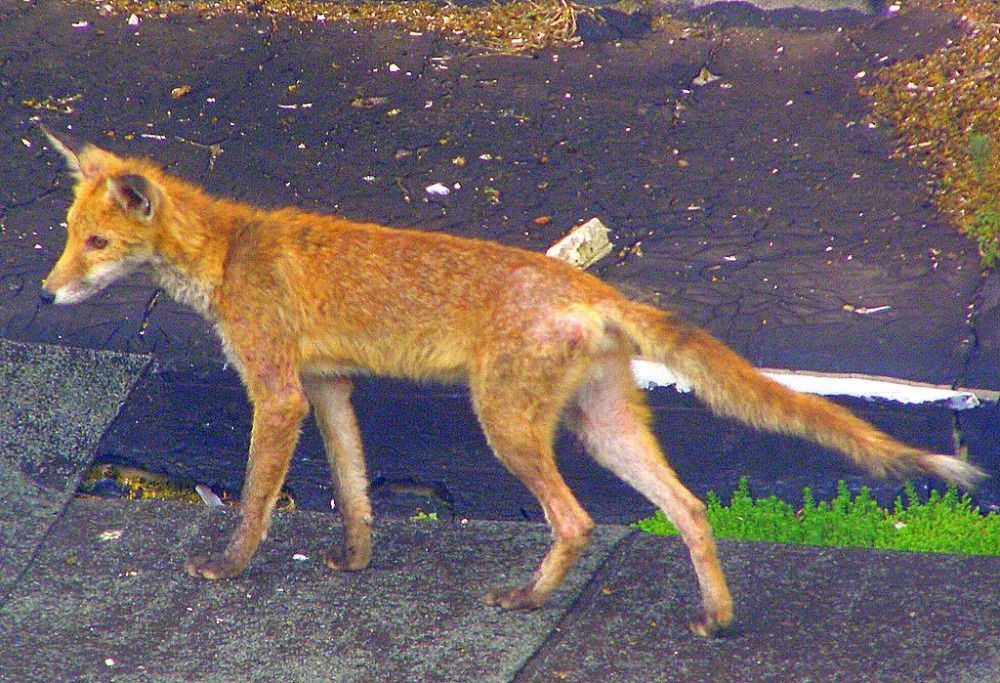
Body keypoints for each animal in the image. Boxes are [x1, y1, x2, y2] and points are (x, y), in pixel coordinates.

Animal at [37, 127, 984, 636]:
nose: (44, 295)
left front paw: (229, 567)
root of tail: (590, 286)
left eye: (96, 244)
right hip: (602, 427)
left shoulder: (278, 390)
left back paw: (528, 599)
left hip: (506, 424)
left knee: (576, 520)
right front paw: (355, 559)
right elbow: (353, 487)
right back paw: (715, 618)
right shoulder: (331, 386)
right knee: (689, 507)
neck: (230, 253)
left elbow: (257, 499)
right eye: (70, 235)